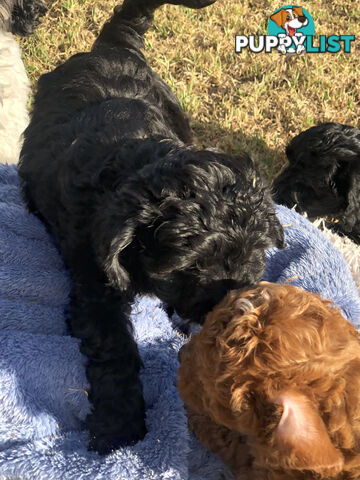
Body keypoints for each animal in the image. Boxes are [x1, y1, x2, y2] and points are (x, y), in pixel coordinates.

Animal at [19, 0, 284, 454]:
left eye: (253, 256)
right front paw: (119, 427)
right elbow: (114, 350)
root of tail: (110, 47)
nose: (231, 309)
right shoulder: (95, 284)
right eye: (189, 267)